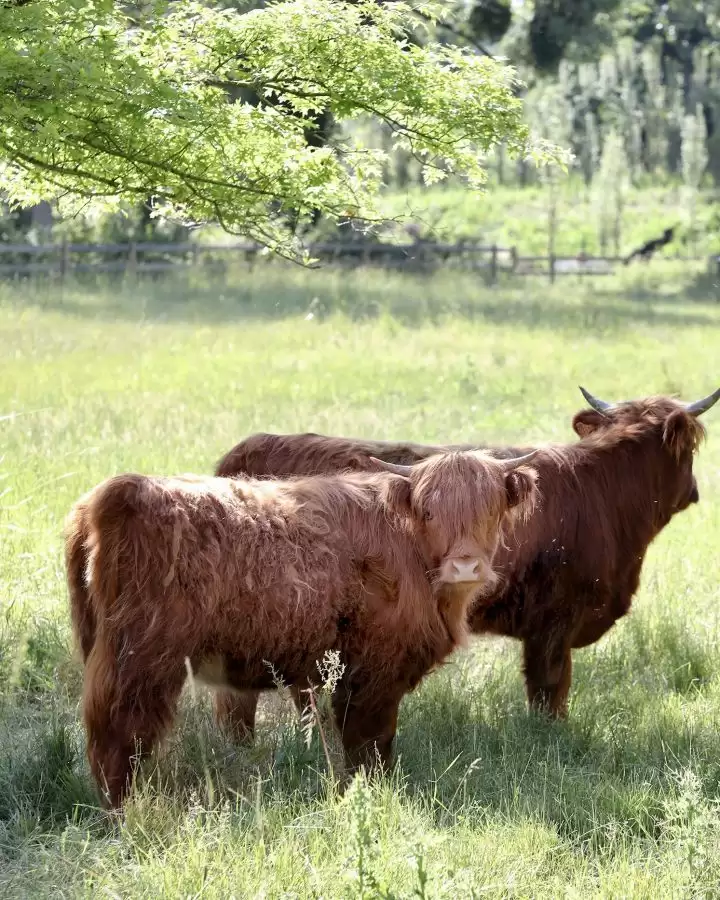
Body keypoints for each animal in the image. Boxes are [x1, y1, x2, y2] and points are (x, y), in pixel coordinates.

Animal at [69, 450, 540, 808]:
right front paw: (373, 794)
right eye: (428, 511)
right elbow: (370, 744)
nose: (465, 566)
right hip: (139, 662)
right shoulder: (373, 675)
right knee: (116, 733)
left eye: (491, 510)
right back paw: (120, 811)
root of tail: (117, 493)